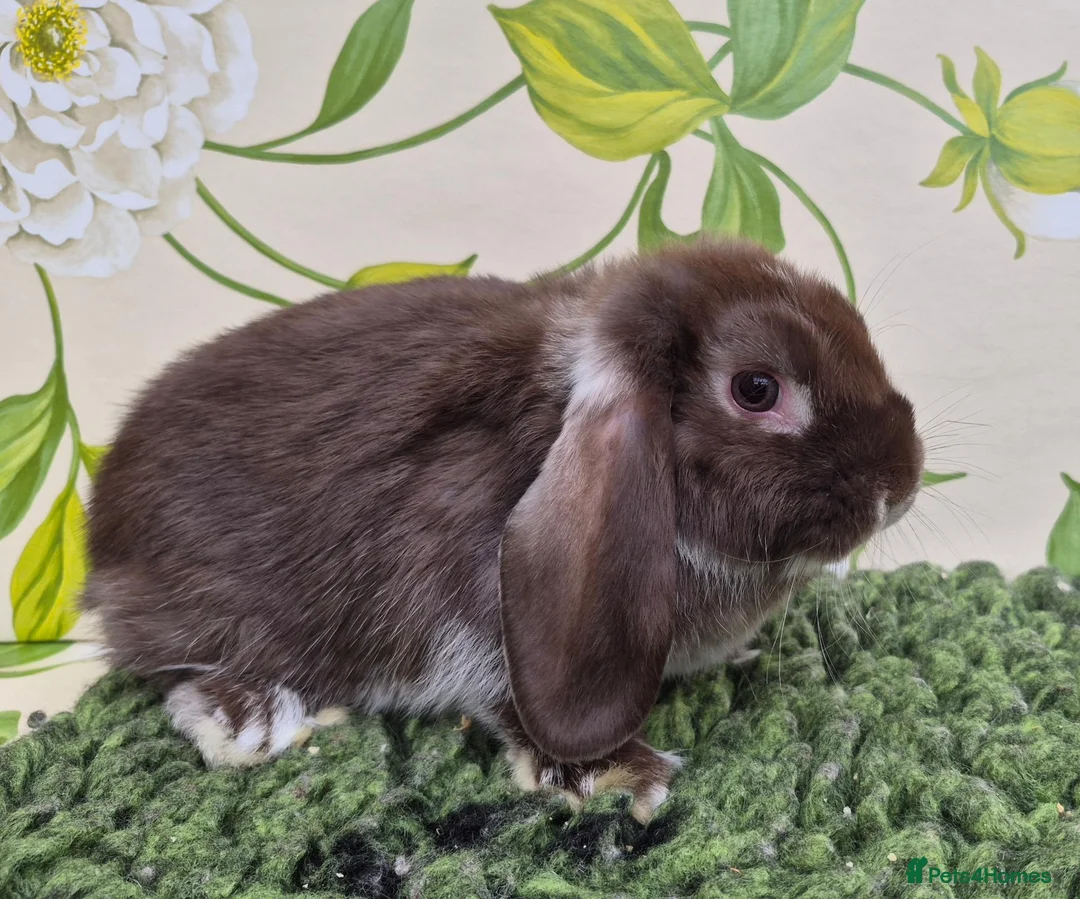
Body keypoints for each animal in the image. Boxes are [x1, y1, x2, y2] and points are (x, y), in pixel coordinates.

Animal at [81, 238, 924, 823]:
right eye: (756, 389)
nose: (902, 482)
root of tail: (100, 536)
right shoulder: (472, 613)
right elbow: (509, 700)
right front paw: (621, 771)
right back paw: (253, 718)